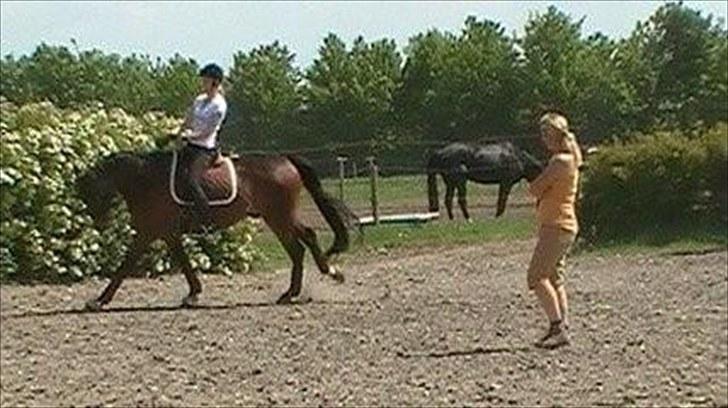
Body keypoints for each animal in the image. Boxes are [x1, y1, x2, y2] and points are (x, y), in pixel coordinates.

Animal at [75, 149, 356, 310]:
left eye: (91, 194)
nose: (100, 224)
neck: (146, 180)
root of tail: (286, 160)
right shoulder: (168, 234)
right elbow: (184, 262)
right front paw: (193, 295)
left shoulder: (147, 233)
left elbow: (123, 267)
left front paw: (99, 301)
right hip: (275, 217)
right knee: (298, 248)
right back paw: (291, 293)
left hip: (280, 215)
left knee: (306, 237)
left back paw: (329, 273)